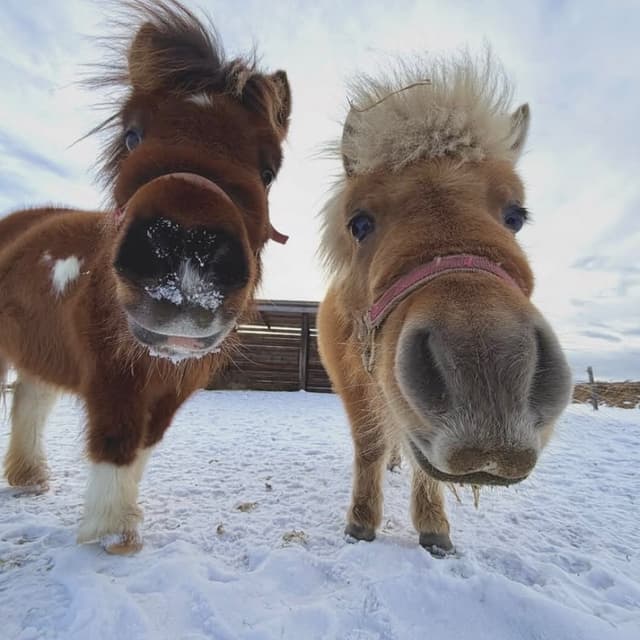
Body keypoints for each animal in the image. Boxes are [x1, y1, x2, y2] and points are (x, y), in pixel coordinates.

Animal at [0, 0, 291, 554]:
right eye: (131, 135)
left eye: (269, 170)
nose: (184, 254)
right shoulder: (113, 383)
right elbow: (116, 444)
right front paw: (110, 534)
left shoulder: (169, 391)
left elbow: (140, 448)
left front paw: (123, 519)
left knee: (29, 401)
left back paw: (28, 479)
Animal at [317, 52, 573, 555]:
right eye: (359, 223)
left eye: (515, 216)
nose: (488, 373)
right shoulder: (352, 383)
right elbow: (370, 446)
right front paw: (361, 523)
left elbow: (423, 469)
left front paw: (433, 527)